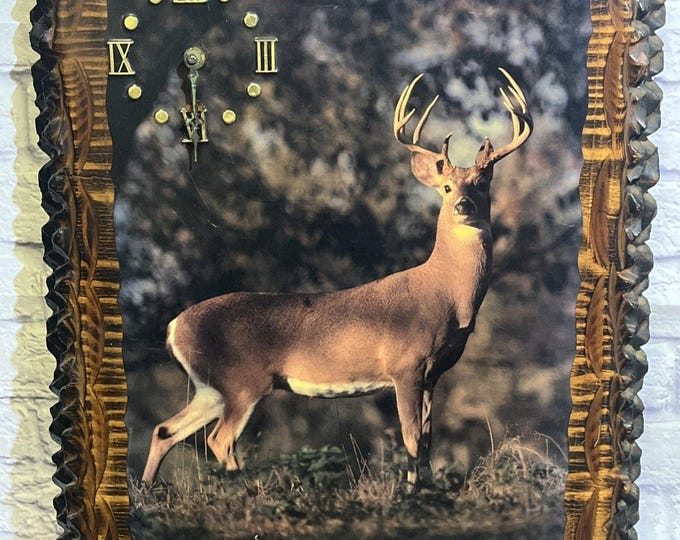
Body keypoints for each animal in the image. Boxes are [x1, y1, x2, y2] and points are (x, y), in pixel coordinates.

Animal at [141, 68, 532, 488]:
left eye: (482, 183)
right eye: (447, 187)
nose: (463, 205)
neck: (447, 294)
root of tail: (174, 327)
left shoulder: (433, 374)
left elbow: (427, 441)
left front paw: (426, 491)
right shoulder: (406, 365)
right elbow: (412, 439)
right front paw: (411, 493)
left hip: (212, 387)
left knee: (165, 430)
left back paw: (149, 490)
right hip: (242, 380)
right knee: (218, 439)